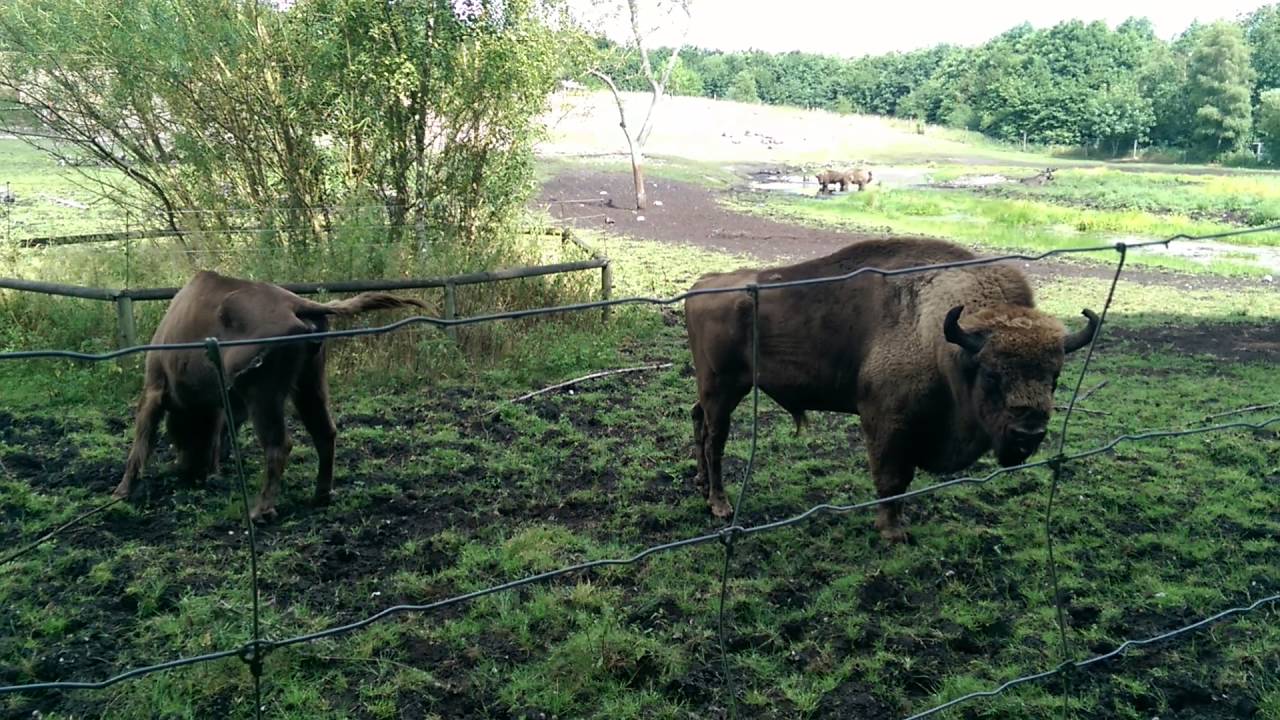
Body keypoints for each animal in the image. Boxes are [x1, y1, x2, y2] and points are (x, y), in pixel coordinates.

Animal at [113, 271, 429, 521]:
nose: (191, 472)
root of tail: (297, 304)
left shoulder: (155, 390)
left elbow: (140, 442)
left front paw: (121, 491)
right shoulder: (226, 403)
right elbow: (222, 433)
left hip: (264, 397)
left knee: (280, 445)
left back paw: (261, 511)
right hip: (309, 385)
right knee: (325, 432)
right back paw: (321, 495)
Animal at [684, 237, 1099, 541]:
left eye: (1055, 377)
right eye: (991, 375)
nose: (1029, 433)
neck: (942, 341)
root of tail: (702, 285)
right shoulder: (887, 422)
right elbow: (892, 480)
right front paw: (892, 532)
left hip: (713, 389)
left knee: (698, 420)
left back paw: (701, 483)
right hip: (722, 389)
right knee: (715, 440)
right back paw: (719, 504)